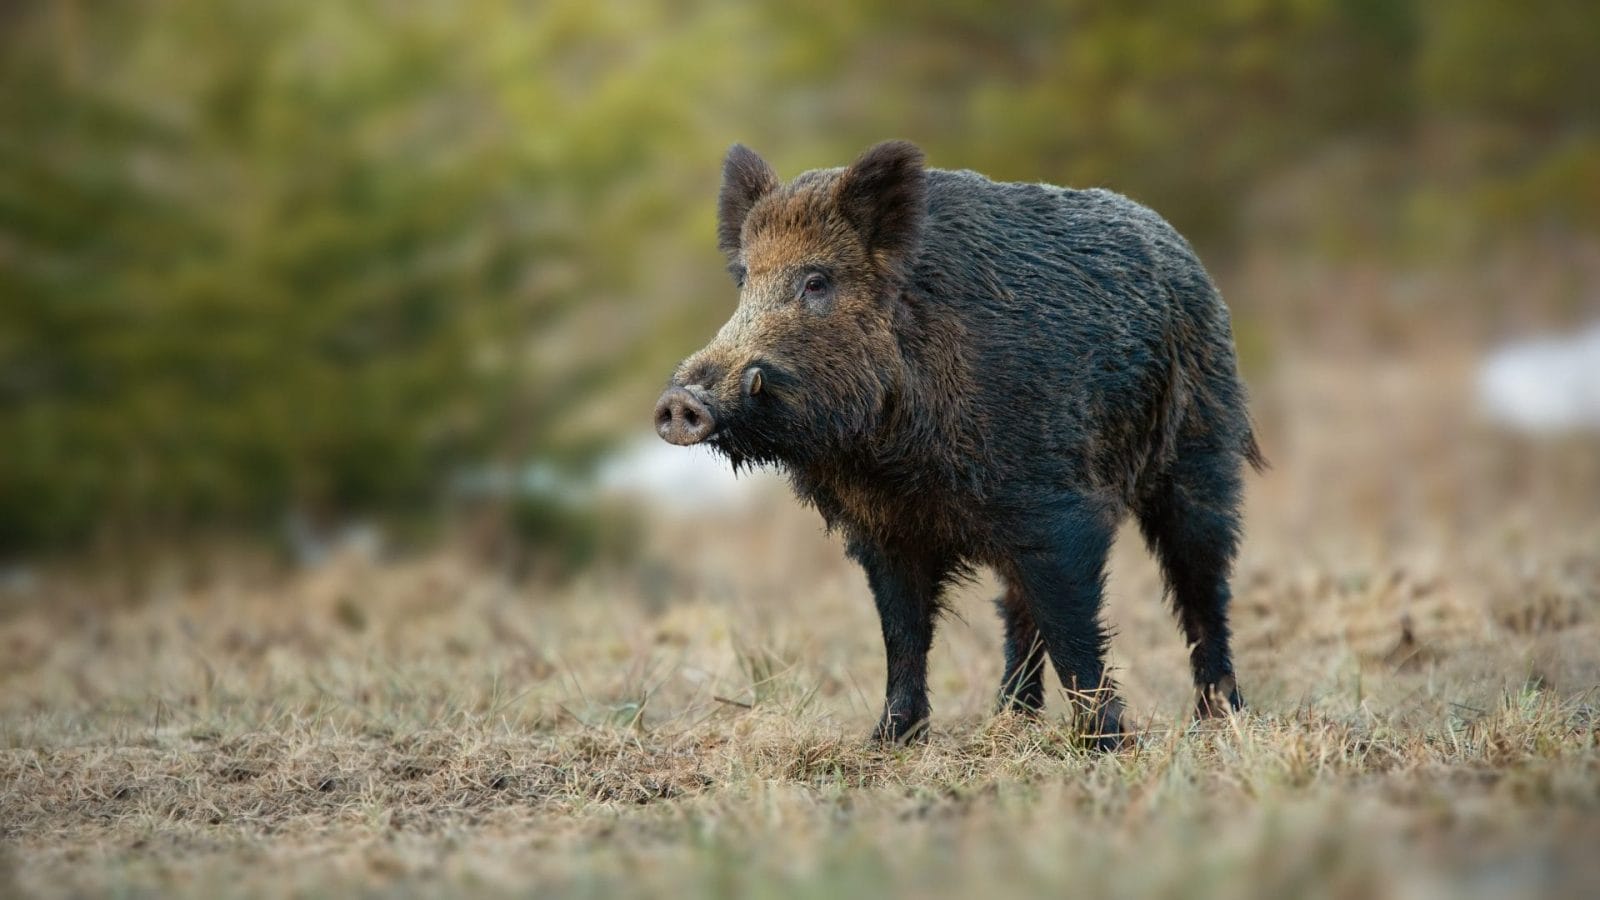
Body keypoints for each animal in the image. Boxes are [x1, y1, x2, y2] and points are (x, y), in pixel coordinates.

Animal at [653, 140, 1264, 747]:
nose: (681, 402)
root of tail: (1188, 258)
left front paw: (1105, 743)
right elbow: (903, 632)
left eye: (817, 281)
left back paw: (1221, 716)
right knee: (1017, 607)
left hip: (1199, 453)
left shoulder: (1056, 510)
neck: (889, 457)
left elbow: (1073, 630)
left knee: (1201, 582)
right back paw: (1011, 717)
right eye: (745, 281)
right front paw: (890, 739)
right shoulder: (884, 533)